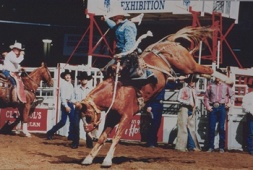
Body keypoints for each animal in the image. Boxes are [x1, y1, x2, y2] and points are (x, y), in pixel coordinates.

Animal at [74, 26, 231, 167]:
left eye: (88, 116)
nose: (87, 132)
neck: (116, 90)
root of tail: (168, 43)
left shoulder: (126, 116)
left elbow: (116, 137)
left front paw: (107, 160)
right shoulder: (112, 116)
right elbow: (103, 138)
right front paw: (88, 158)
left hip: (186, 65)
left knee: (206, 69)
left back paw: (228, 79)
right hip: (185, 69)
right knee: (200, 72)